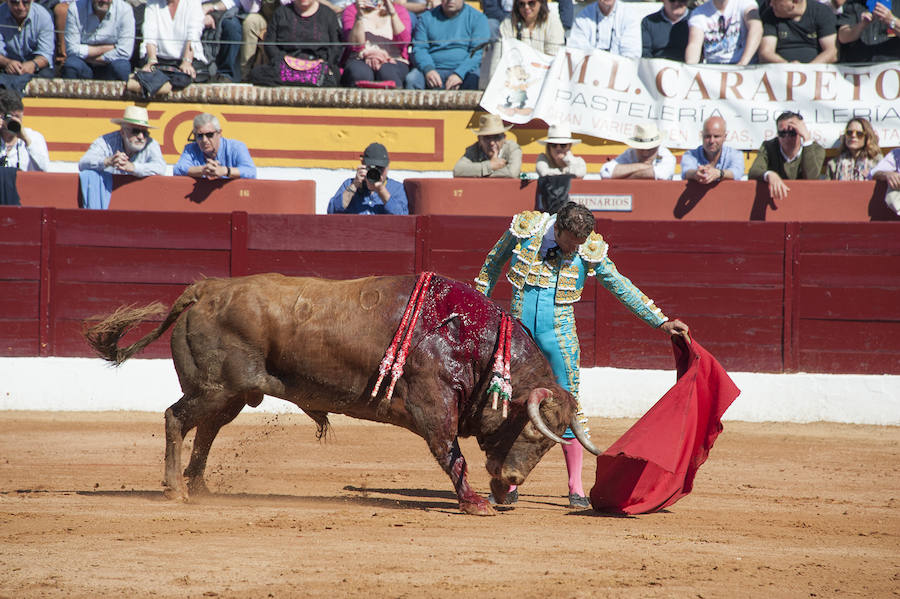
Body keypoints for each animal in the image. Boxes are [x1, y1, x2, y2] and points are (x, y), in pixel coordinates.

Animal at [84, 274, 596, 516]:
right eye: (537, 434)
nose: (510, 482)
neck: (478, 344)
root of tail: (205, 290)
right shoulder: (433, 405)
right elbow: (452, 454)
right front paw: (474, 502)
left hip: (231, 394)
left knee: (206, 431)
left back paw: (200, 486)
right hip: (216, 388)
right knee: (176, 418)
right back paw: (175, 489)